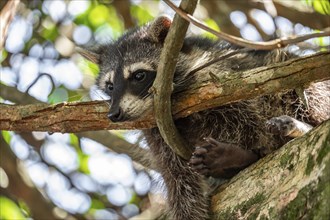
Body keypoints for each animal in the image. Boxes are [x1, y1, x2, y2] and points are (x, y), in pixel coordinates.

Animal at [80, 16, 330, 219]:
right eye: (110, 86)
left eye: (138, 76)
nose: (114, 114)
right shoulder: (160, 135)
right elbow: (180, 185)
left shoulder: (226, 81)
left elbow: (254, 117)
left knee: (306, 89)